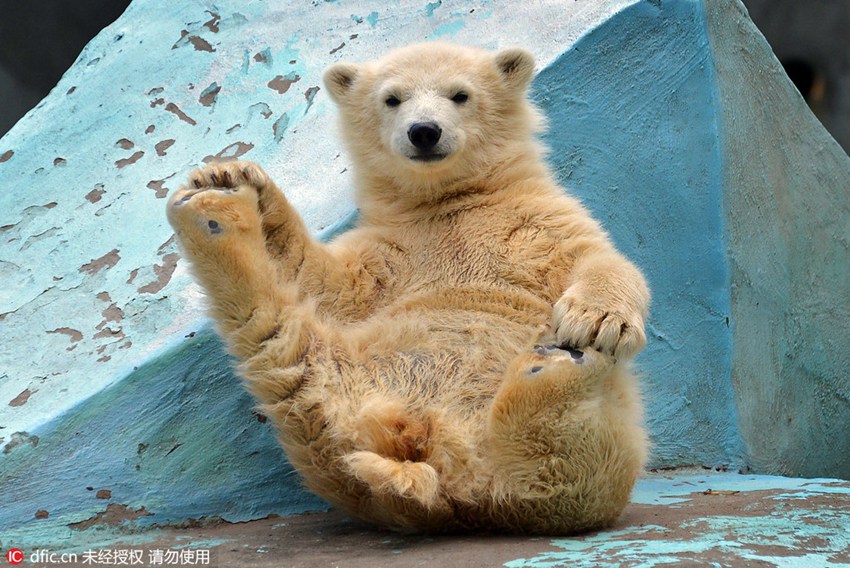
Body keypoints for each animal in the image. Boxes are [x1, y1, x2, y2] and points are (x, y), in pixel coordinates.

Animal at [166, 42, 650, 534]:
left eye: (460, 94)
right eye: (392, 99)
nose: (424, 131)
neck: (447, 200)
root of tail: (446, 474)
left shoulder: (537, 219)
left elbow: (599, 258)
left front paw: (596, 320)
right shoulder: (392, 248)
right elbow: (328, 280)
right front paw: (229, 176)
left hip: (605, 444)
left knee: (568, 479)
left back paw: (558, 363)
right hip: (352, 382)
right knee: (286, 357)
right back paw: (211, 213)